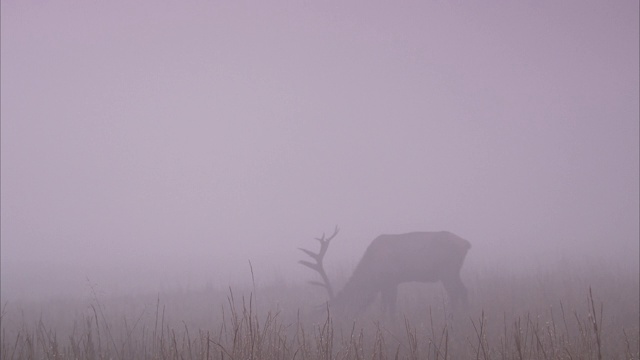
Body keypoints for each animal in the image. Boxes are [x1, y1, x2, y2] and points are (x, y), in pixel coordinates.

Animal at [300, 228, 470, 316]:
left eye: (343, 309)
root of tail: (467, 244)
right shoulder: (385, 284)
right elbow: (385, 306)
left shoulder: (391, 280)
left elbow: (390, 307)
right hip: (453, 272)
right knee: (463, 291)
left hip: (448, 271)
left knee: (455, 293)